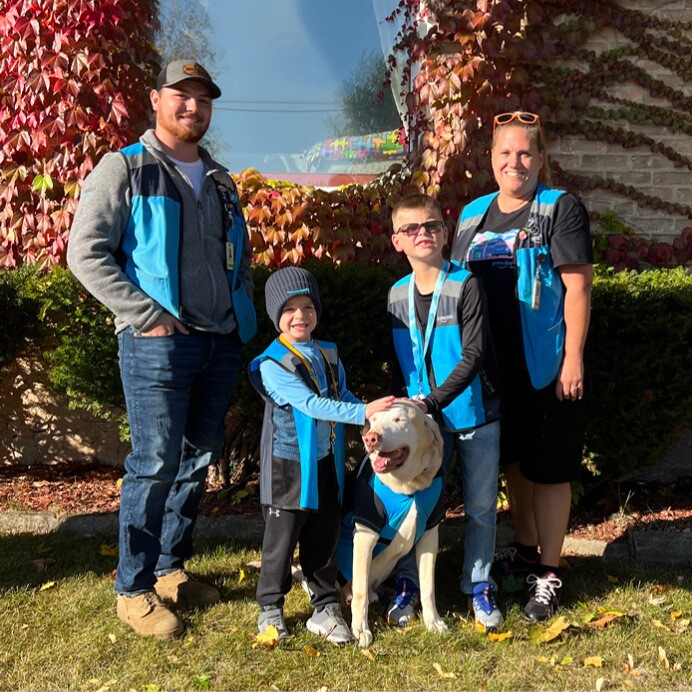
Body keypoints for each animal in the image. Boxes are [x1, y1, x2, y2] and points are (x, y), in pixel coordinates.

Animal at [340, 400, 448, 648]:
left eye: (399, 420)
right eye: (373, 421)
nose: (370, 438)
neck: (409, 488)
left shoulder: (430, 535)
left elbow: (428, 587)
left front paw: (433, 621)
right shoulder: (365, 534)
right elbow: (360, 592)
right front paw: (361, 629)